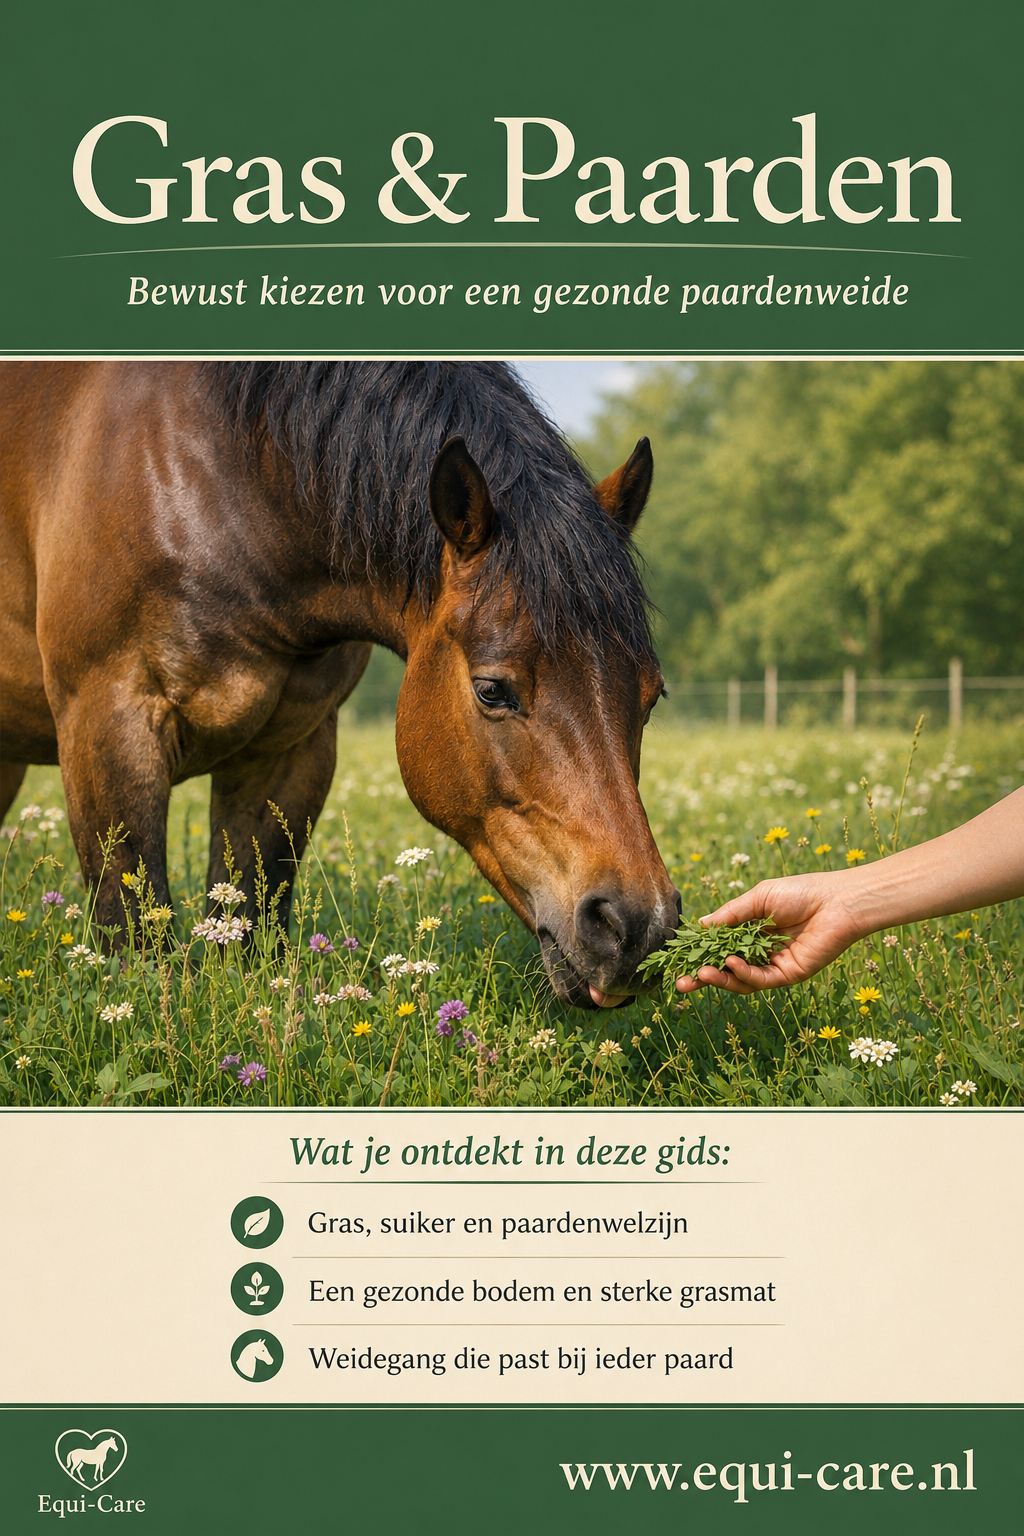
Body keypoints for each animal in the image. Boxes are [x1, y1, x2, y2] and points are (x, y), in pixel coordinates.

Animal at [0, 361, 679, 1008]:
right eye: (492, 691)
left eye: (651, 699)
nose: (638, 929)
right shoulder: (108, 726)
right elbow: (137, 940)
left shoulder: (290, 749)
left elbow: (249, 923)